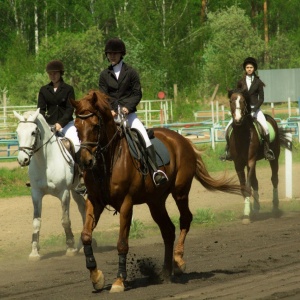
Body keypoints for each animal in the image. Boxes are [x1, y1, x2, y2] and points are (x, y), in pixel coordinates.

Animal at [13, 108, 86, 260]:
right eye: (17, 132)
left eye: (33, 132)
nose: (23, 160)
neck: (45, 162)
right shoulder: (36, 194)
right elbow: (36, 222)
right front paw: (34, 252)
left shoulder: (64, 193)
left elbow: (65, 220)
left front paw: (70, 248)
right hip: (75, 190)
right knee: (83, 208)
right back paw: (82, 246)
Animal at [69, 90, 241, 294]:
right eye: (77, 127)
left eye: (96, 125)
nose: (86, 161)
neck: (108, 161)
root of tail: (183, 140)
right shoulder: (95, 201)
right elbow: (86, 236)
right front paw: (96, 277)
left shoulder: (126, 203)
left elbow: (122, 243)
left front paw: (119, 281)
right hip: (155, 202)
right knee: (168, 230)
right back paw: (165, 272)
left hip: (180, 192)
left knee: (185, 219)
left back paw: (178, 262)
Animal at [226, 90, 292, 224]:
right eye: (231, 101)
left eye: (243, 101)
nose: (238, 120)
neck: (242, 135)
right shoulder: (238, 164)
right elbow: (245, 187)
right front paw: (248, 212)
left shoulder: (251, 161)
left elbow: (248, 186)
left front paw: (247, 214)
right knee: (255, 182)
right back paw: (256, 209)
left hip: (274, 158)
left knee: (274, 179)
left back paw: (275, 208)